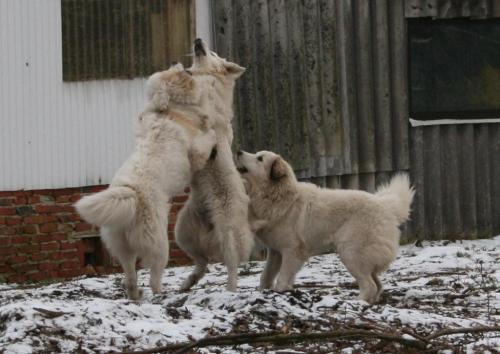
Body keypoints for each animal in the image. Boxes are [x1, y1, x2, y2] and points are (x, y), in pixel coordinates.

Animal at [236, 150, 416, 304]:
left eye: (260, 158)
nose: (238, 151)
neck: (279, 196)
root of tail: (385, 205)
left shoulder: (291, 252)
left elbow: (282, 277)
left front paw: (281, 292)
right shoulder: (275, 252)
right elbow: (265, 275)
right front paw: (264, 292)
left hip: (350, 253)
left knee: (369, 285)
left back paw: (357, 302)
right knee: (377, 284)